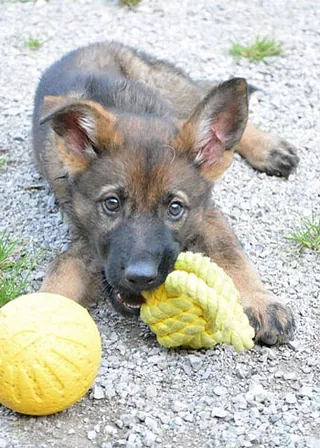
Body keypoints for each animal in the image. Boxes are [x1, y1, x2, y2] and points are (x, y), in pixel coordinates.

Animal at [31, 40, 298, 344]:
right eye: (112, 203)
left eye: (175, 208)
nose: (140, 277)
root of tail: (94, 45)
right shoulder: (87, 239)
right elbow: (60, 275)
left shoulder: (207, 214)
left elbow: (231, 254)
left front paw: (260, 301)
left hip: (177, 92)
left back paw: (268, 147)